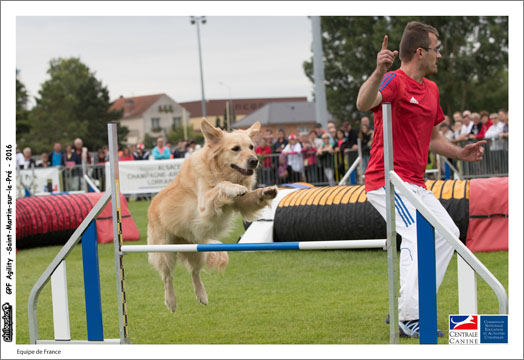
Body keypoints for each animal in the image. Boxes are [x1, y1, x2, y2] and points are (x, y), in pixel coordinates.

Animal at [146, 118, 276, 312]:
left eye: (252, 147)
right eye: (236, 148)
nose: (254, 161)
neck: (219, 169)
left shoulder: (241, 203)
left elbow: (249, 196)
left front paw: (266, 191)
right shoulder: (204, 206)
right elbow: (221, 185)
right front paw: (234, 187)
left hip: (196, 249)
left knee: (194, 272)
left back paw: (202, 295)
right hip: (164, 252)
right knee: (167, 277)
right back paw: (171, 301)